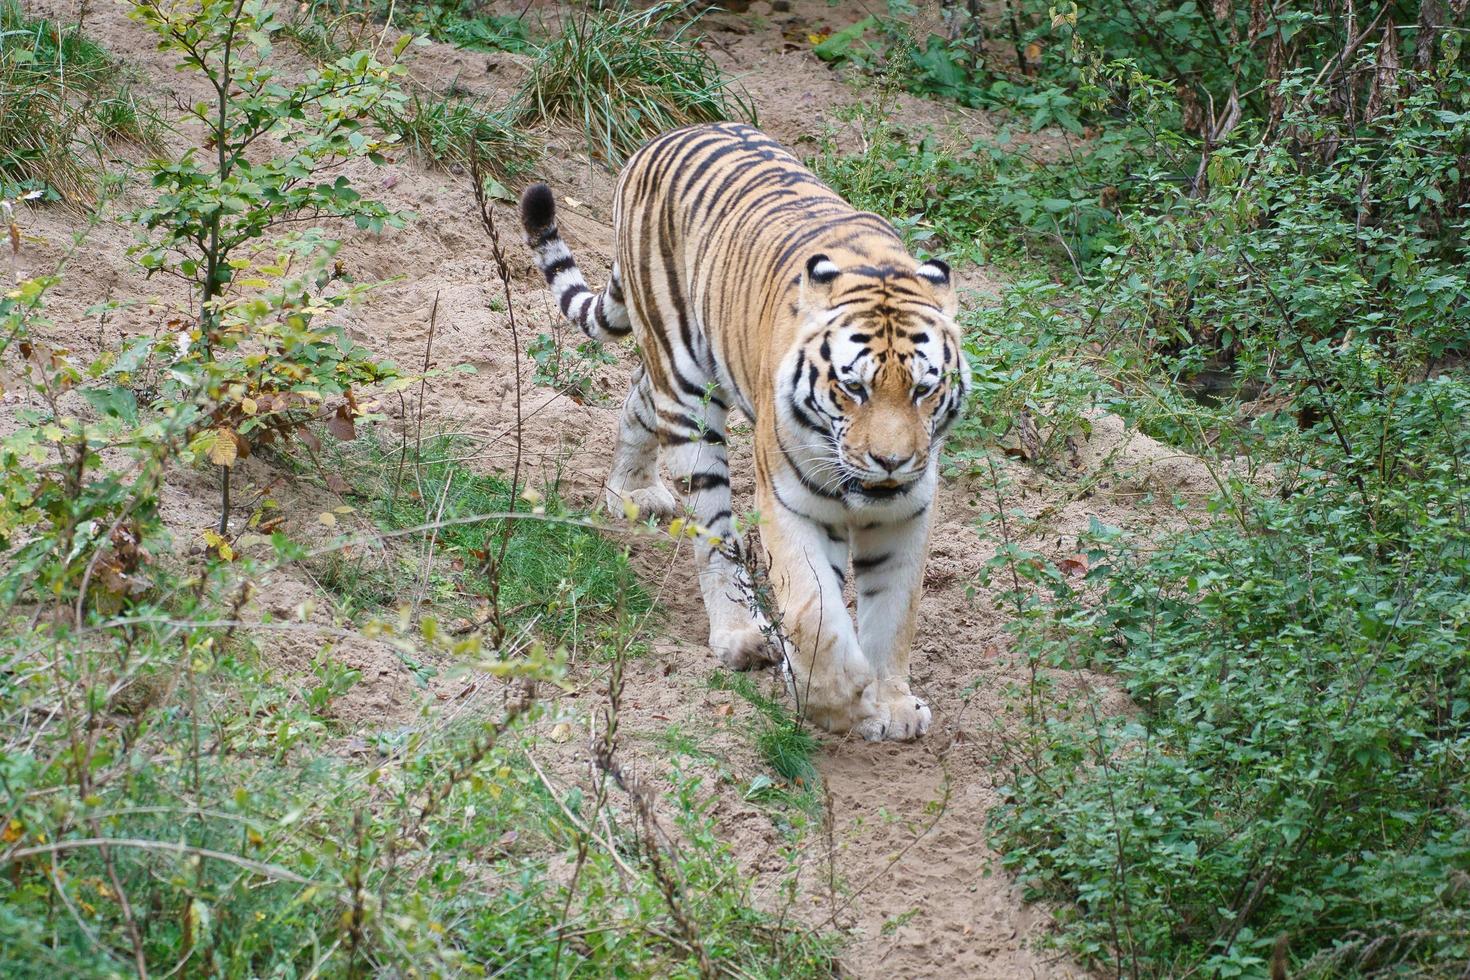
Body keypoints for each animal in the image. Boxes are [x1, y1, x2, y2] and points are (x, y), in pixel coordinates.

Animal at [523, 120, 970, 743]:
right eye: (853, 388)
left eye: (923, 390)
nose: (890, 462)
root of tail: (661, 139)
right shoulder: (791, 501)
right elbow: (812, 607)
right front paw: (835, 699)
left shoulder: (907, 511)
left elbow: (894, 612)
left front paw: (892, 705)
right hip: (689, 398)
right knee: (714, 533)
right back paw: (741, 635)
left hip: (669, 380)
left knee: (638, 397)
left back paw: (631, 490)